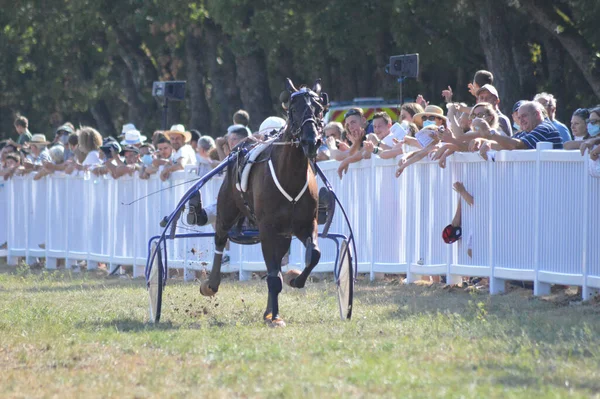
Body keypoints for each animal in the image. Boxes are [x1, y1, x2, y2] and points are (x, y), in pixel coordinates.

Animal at [199, 79, 326, 328]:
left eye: (319, 108)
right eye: (294, 109)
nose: (311, 141)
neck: (290, 176)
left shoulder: (306, 224)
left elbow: (313, 255)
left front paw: (295, 282)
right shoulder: (267, 228)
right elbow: (273, 276)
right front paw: (275, 317)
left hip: (283, 234)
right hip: (228, 206)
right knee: (220, 237)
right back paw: (212, 284)